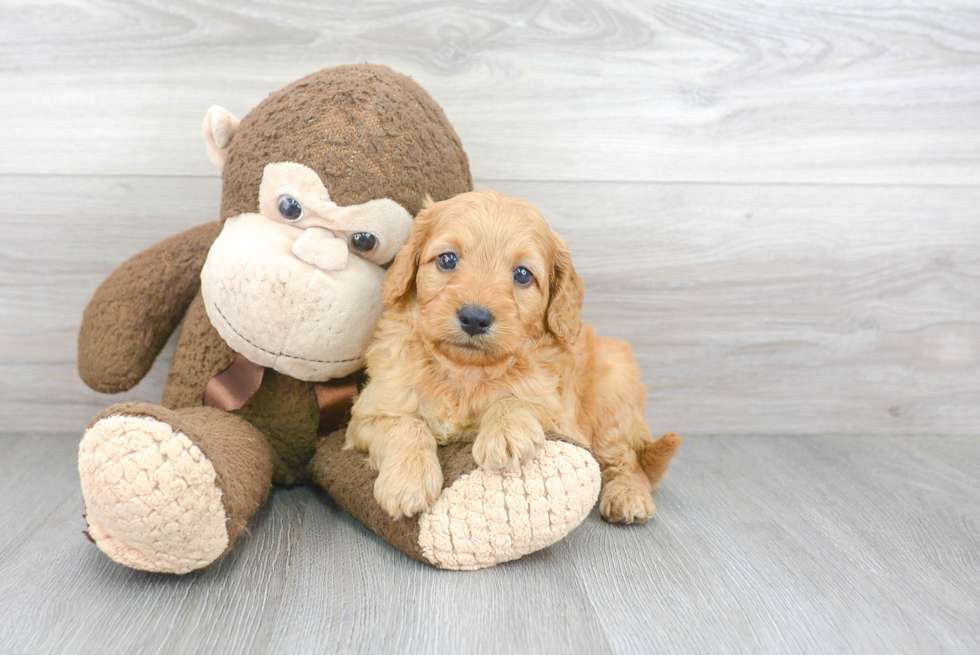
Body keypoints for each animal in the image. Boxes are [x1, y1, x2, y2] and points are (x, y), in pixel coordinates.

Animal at [346, 188, 680, 524]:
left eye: (522, 275)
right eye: (447, 259)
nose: (474, 318)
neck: (463, 371)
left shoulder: (560, 415)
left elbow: (517, 398)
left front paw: (505, 433)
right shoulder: (368, 413)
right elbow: (405, 425)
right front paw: (407, 481)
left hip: (612, 393)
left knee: (625, 458)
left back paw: (628, 496)